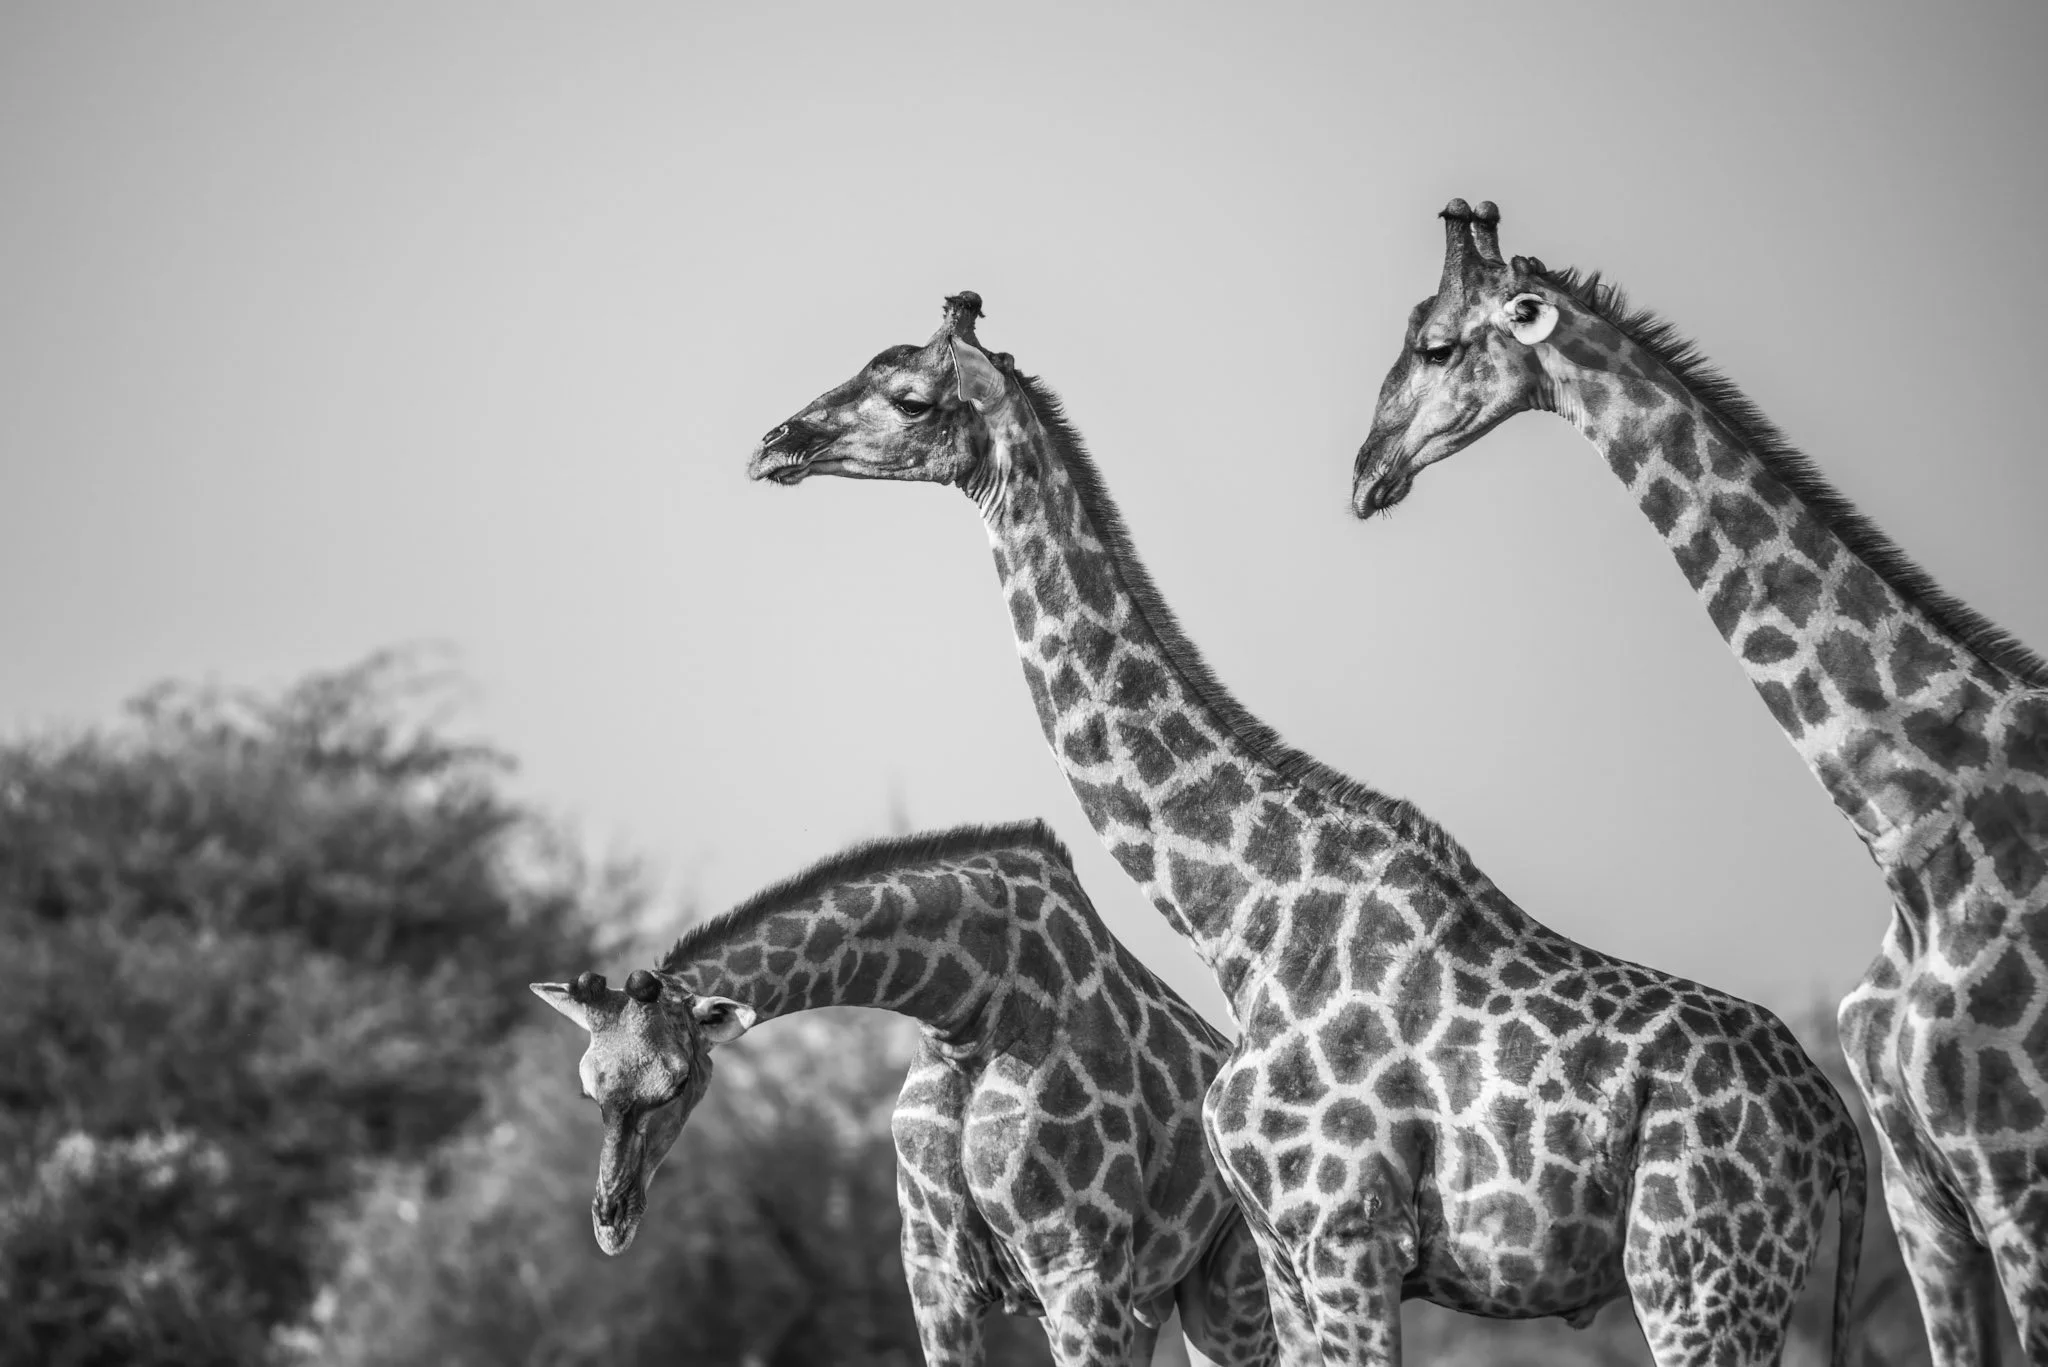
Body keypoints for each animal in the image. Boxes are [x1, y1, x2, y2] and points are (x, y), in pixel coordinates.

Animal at [530, 820, 1275, 1367]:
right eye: (587, 1090)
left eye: (678, 1080)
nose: (611, 1220)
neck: (968, 1013)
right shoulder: (934, 1275)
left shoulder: (1077, 1270)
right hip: (1151, 1302)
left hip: (1231, 1290)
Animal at [747, 293, 1868, 1365]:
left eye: (907, 397)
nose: (774, 442)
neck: (1239, 915)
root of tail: (1833, 1127)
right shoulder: (1278, 1252)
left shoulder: (1346, 1233)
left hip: (1697, 1270)